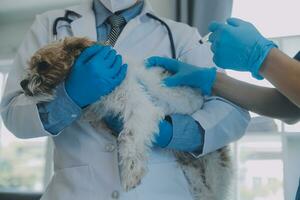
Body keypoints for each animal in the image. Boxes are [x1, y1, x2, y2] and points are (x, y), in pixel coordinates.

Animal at [21, 36, 232, 199]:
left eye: (43, 64)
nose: (22, 83)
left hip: (215, 167)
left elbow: (129, 139)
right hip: (192, 171)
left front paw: (131, 173)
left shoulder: (141, 109)